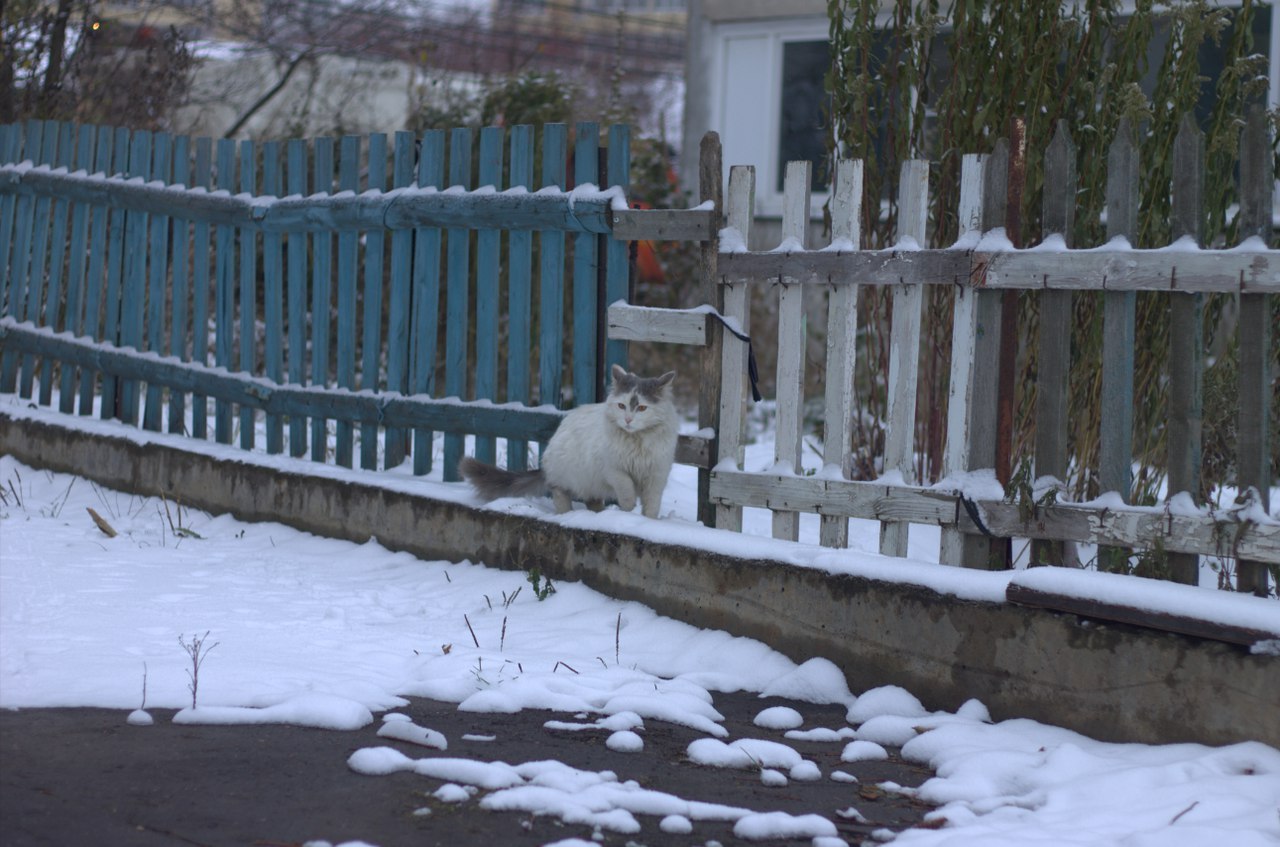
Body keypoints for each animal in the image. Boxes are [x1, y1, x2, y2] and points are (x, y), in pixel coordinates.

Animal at [460, 368, 680, 522]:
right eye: (621, 406)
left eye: (642, 408)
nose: (627, 420)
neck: (637, 442)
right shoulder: (613, 470)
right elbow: (626, 487)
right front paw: (628, 509)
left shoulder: (656, 475)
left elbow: (652, 504)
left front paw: (648, 522)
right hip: (566, 476)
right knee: (561, 495)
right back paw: (567, 515)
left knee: (592, 500)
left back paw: (598, 514)